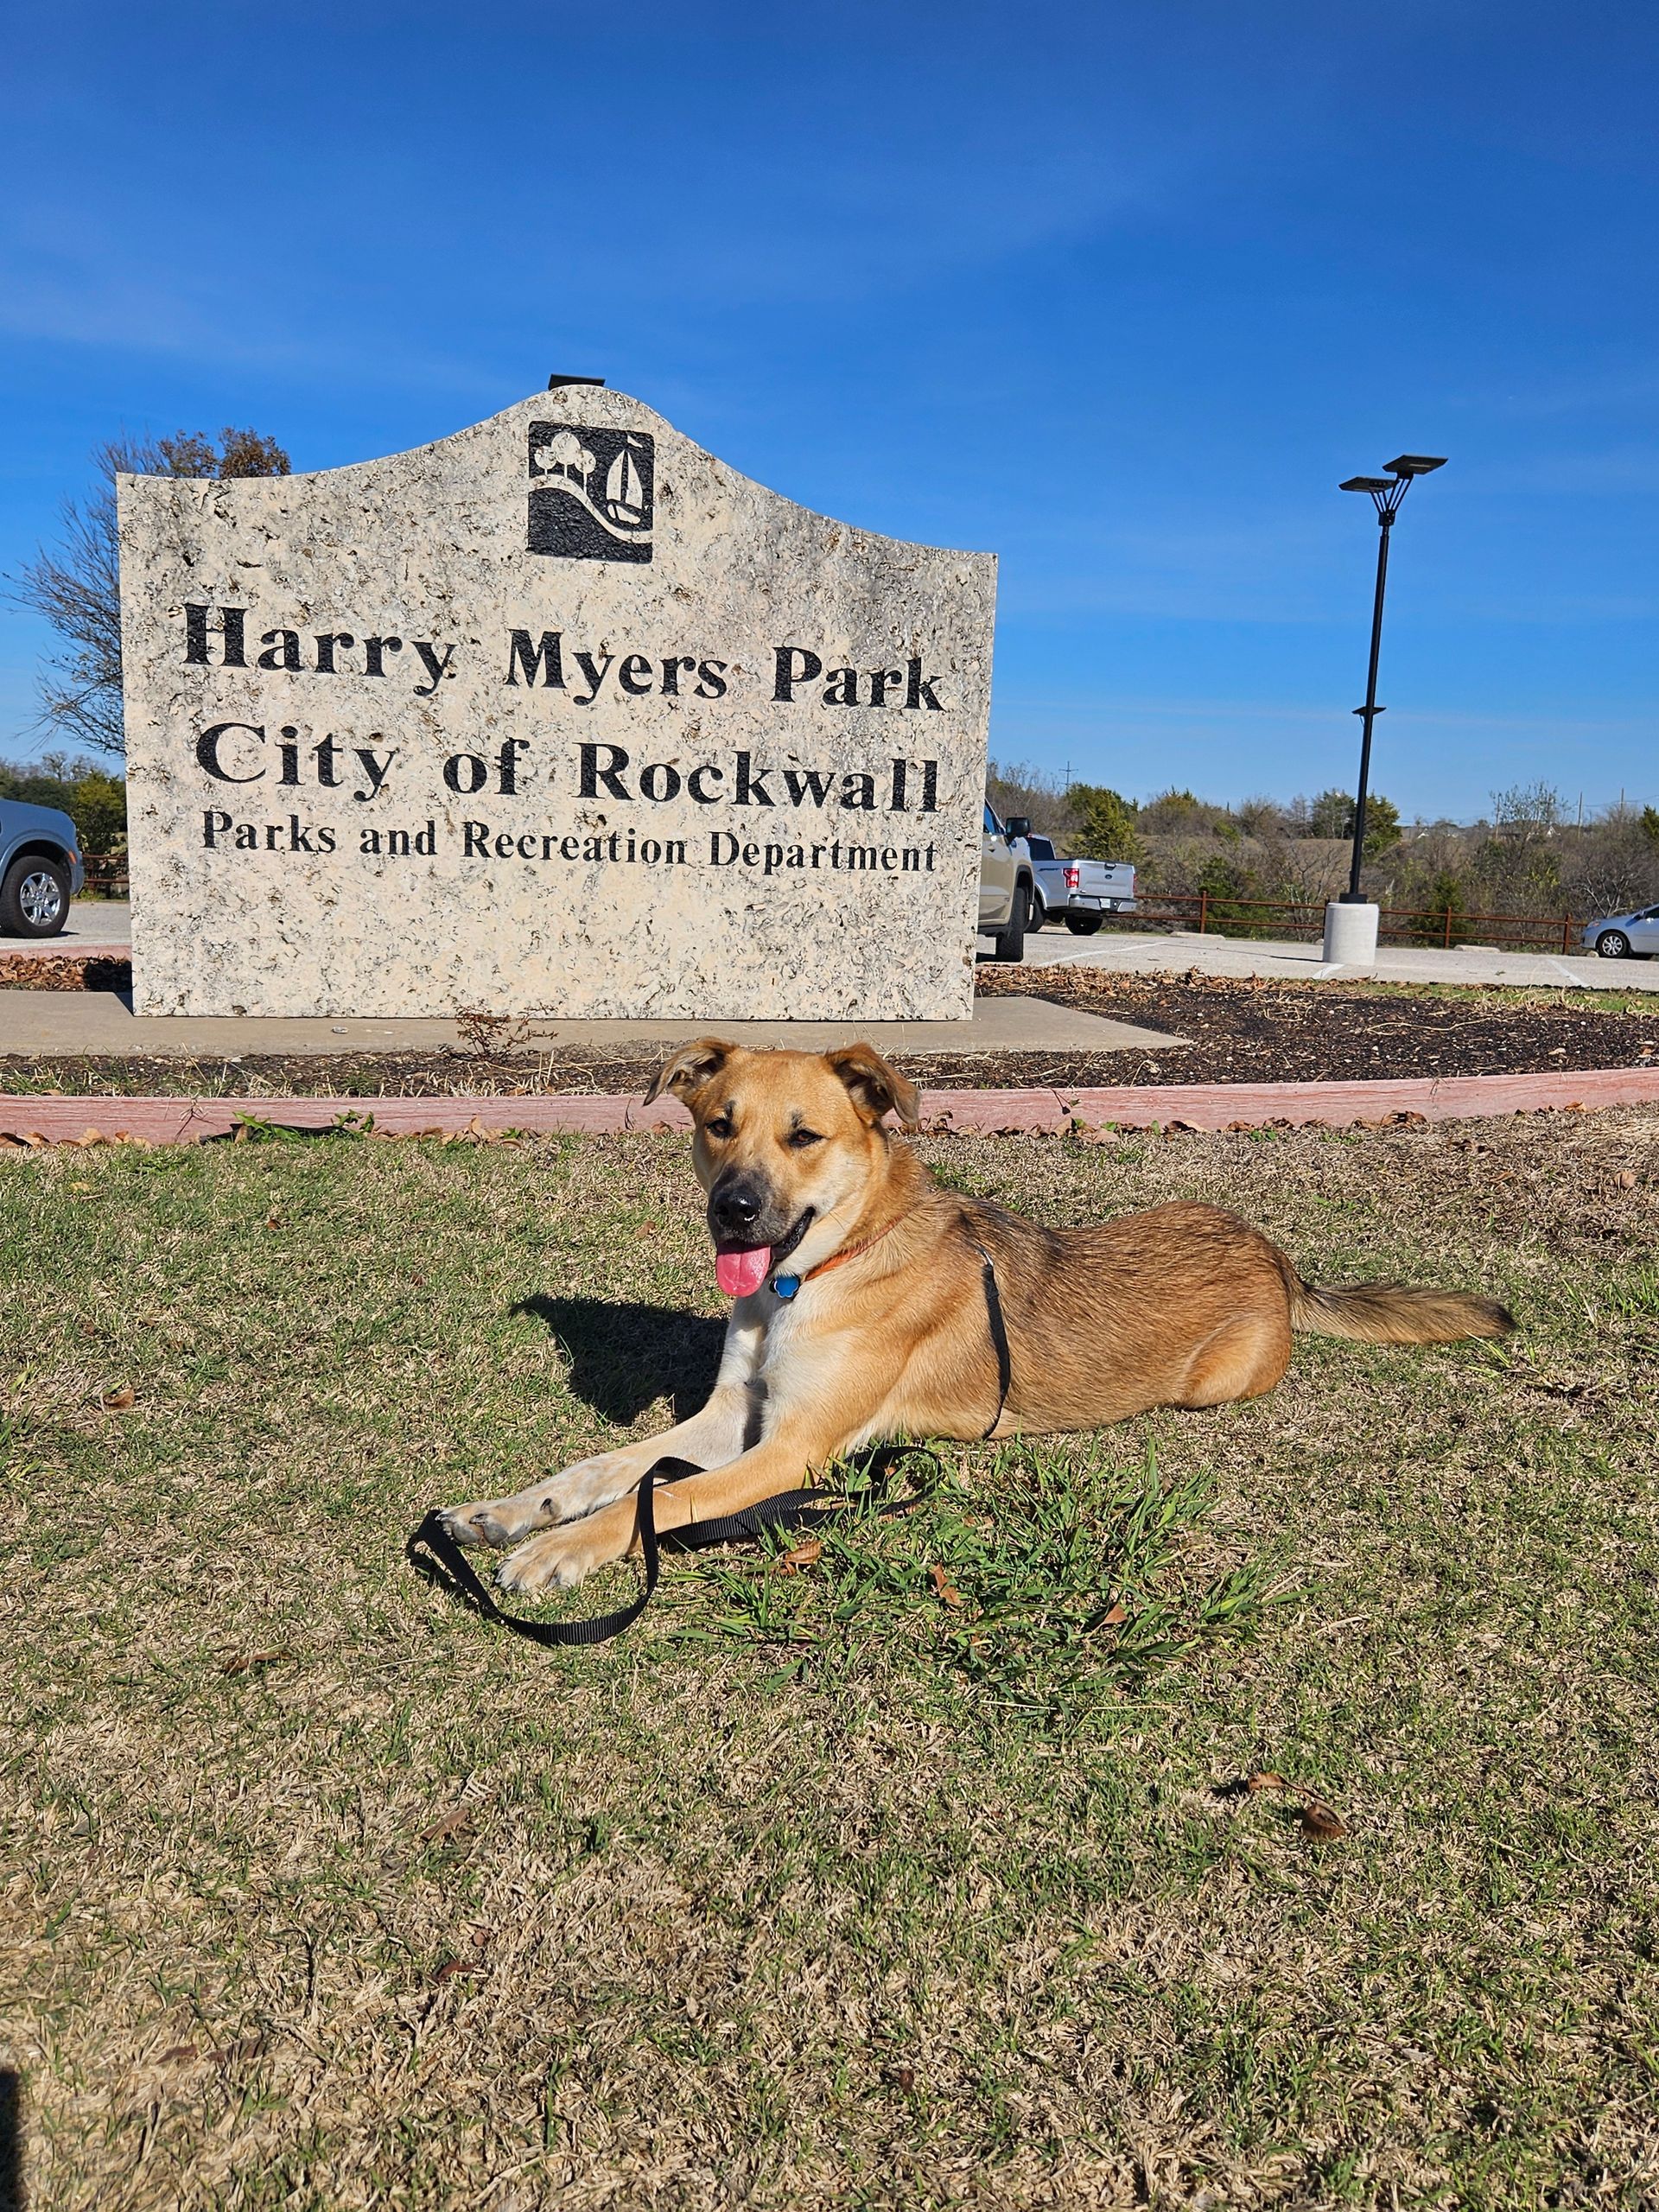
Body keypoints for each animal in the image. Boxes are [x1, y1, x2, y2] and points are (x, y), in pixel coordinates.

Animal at [441, 1039, 1514, 1592]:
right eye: (719, 1125)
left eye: (804, 1136)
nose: (733, 1210)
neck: (822, 1270)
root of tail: (1275, 1254)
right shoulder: (728, 1419)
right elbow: (604, 1470)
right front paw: (509, 1511)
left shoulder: (791, 1452)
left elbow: (653, 1501)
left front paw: (560, 1550)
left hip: (1216, 1382)